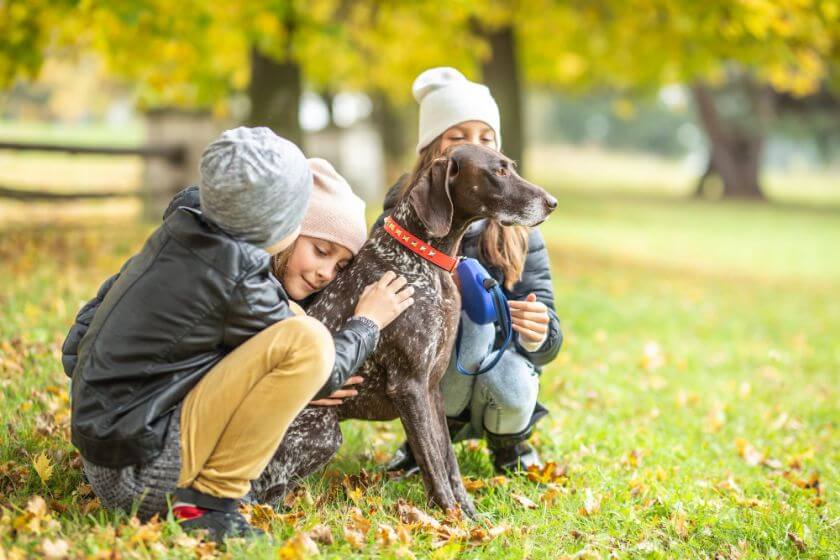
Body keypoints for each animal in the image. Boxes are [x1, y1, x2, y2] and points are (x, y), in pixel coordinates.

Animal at [253, 142, 560, 516]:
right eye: (498, 171)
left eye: (511, 166)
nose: (552, 202)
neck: (424, 259)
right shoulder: (410, 385)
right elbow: (433, 464)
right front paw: (450, 517)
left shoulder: (431, 387)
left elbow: (447, 459)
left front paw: (469, 513)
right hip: (324, 433)